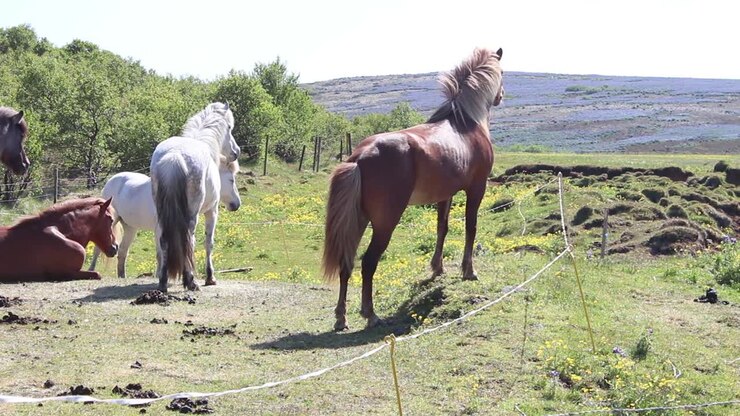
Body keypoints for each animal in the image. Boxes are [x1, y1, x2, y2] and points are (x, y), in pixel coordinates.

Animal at [88, 157, 241, 280]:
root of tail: (111, 180)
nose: (236, 204)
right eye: (231, 179)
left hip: (130, 228)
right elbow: (160, 253)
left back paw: (122, 276)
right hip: (112, 222)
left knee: (122, 252)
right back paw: (91, 270)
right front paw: (159, 275)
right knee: (98, 248)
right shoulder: (159, 230)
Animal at [150, 102, 240, 292]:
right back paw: (190, 281)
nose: (236, 151)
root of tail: (175, 156)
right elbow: (208, 243)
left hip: (161, 215)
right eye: (229, 127)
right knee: (189, 242)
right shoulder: (212, 211)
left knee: (163, 242)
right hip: (192, 216)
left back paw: (163, 282)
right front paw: (210, 277)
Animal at [322, 48, 504, 330]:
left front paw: (437, 268)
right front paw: (469, 271)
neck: (465, 123)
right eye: (503, 72)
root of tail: (359, 157)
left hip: (358, 219)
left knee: (346, 261)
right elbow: (470, 227)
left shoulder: (445, 195)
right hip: (385, 223)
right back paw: (370, 314)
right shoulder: (477, 188)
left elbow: (442, 228)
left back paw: (341, 318)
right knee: (368, 262)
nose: (500, 96)